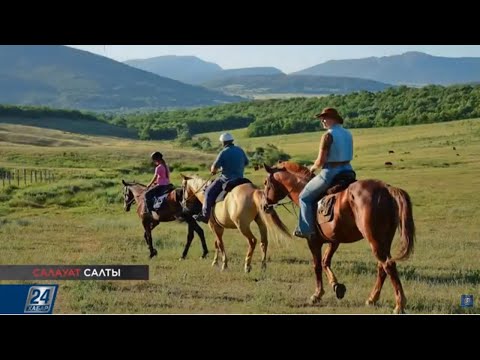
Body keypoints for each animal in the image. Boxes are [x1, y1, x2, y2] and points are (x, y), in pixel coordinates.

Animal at [260, 162, 414, 314]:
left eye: (266, 183)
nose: (264, 206)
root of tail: (387, 189)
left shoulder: (313, 241)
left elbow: (317, 265)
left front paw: (317, 294)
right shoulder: (333, 241)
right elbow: (325, 262)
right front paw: (336, 286)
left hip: (374, 240)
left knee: (388, 265)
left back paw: (399, 305)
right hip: (384, 241)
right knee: (382, 267)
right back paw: (372, 299)